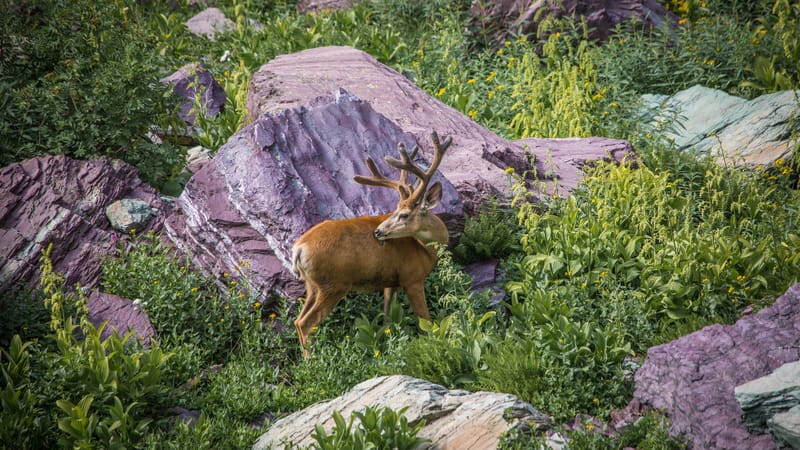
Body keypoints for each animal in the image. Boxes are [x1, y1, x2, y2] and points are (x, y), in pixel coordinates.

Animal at [290, 131, 452, 355]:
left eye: (402, 214)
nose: (378, 231)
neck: (425, 249)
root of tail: (299, 248)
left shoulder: (391, 281)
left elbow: (386, 318)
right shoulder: (412, 277)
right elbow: (426, 321)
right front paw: (436, 345)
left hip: (312, 285)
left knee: (297, 320)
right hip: (333, 284)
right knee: (306, 323)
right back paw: (312, 359)